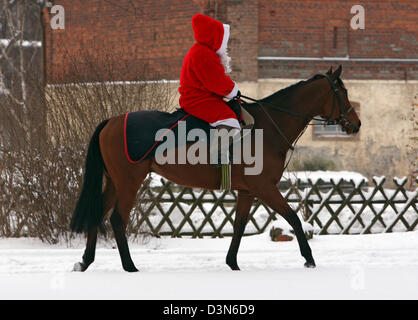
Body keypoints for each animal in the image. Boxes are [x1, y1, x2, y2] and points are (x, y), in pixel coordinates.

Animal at [70, 65, 360, 272]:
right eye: (343, 93)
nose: (356, 124)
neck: (268, 126)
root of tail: (110, 121)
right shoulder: (265, 187)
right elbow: (293, 218)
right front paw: (309, 258)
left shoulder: (248, 191)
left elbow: (240, 225)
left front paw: (232, 262)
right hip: (129, 182)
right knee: (118, 219)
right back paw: (129, 266)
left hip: (115, 182)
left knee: (98, 213)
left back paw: (85, 261)